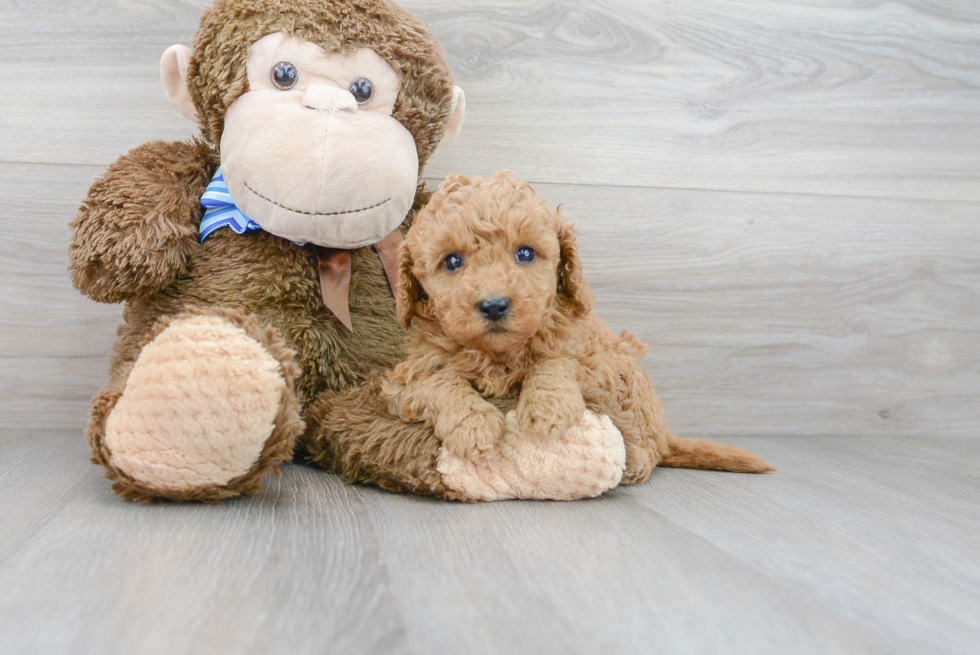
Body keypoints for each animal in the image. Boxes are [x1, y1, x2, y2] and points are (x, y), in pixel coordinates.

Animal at [384, 172, 772, 484]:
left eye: (525, 254)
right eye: (452, 261)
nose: (494, 305)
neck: (499, 355)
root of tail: (665, 433)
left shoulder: (597, 364)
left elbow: (557, 362)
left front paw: (546, 408)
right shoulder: (402, 382)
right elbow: (439, 382)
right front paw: (473, 426)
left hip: (633, 382)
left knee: (648, 442)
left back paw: (637, 461)